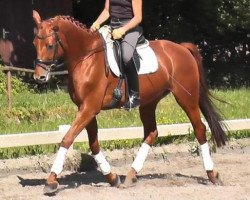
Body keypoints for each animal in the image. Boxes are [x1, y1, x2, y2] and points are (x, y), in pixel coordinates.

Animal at [32, 11, 226, 195]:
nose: (39, 77)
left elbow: (67, 139)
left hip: (186, 98)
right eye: (35, 44)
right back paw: (131, 175)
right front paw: (112, 177)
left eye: (49, 45)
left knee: (199, 128)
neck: (86, 57)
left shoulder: (89, 108)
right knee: (151, 132)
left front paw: (51, 182)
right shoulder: (86, 108)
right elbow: (93, 144)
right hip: (149, 102)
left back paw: (212, 174)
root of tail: (182, 48)